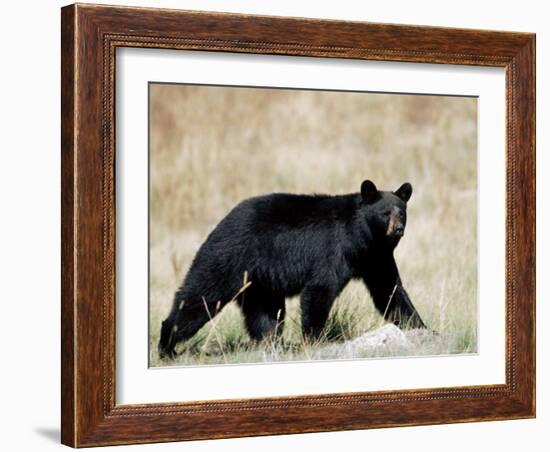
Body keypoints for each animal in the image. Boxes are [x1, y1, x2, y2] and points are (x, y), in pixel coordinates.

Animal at [160, 178, 426, 358]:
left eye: (402, 212)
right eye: (385, 213)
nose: (398, 229)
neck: (363, 238)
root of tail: (222, 222)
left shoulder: (376, 257)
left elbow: (389, 291)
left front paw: (421, 328)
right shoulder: (334, 249)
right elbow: (320, 289)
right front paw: (315, 340)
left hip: (260, 283)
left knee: (265, 315)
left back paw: (271, 344)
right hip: (227, 259)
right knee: (200, 297)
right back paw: (167, 346)